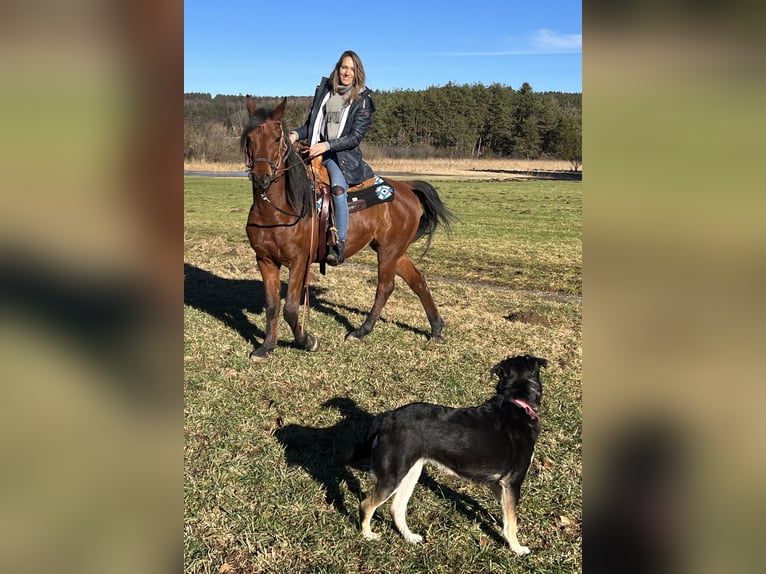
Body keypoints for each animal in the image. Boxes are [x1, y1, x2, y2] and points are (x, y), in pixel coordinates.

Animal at [243, 97, 452, 362]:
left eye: (277, 138)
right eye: (249, 138)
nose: (261, 177)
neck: (278, 211)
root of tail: (407, 187)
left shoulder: (299, 261)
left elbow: (290, 308)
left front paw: (307, 340)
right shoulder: (265, 260)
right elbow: (272, 306)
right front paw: (267, 346)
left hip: (388, 251)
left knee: (385, 287)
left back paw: (362, 330)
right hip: (393, 250)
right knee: (418, 281)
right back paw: (436, 328)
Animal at [356, 354, 548, 556]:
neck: (516, 403)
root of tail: (386, 418)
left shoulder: (499, 483)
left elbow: (507, 514)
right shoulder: (513, 482)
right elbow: (511, 521)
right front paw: (517, 548)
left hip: (411, 473)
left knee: (396, 509)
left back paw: (410, 537)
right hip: (392, 477)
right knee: (366, 505)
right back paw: (368, 535)